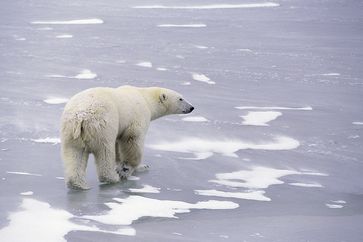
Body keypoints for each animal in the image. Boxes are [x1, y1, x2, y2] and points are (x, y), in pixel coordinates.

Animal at [61, 86, 195, 190]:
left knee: (74, 154)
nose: (192, 107)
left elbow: (118, 144)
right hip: (102, 126)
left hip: (71, 133)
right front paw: (131, 168)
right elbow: (132, 140)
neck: (145, 98)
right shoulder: (138, 117)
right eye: (180, 98)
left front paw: (125, 166)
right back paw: (112, 178)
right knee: (105, 151)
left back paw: (78, 184)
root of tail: (81, 116)